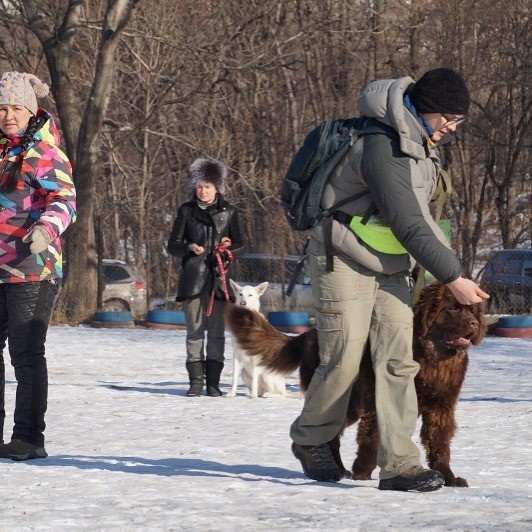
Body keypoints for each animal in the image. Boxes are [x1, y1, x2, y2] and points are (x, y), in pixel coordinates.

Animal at [224, 282, 486, 486]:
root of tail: (309, 334)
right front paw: (363, 472)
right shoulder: (377, 400)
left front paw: (448, 478)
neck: (433, 359)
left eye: (473, 311)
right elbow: (372, 438)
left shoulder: (441, 407)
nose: (474, 324)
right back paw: (331, 468)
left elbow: (439, 444)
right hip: (341, 397)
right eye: (452, 309)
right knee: (329, 433)